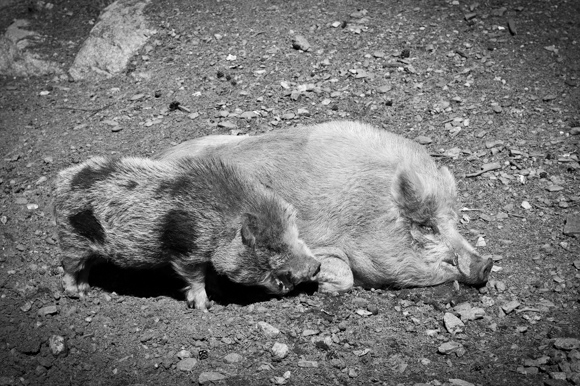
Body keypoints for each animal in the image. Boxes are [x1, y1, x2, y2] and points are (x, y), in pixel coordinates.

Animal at [53, 155, 322, 310]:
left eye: (295, 234)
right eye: (272, 247)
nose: (317, 266)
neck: (219, 226)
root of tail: (61, 180)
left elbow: (210, 276)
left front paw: (219, 292)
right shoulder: (186, 252)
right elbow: (195, 278)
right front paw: (205, 306)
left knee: (85, 267)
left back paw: (86, 290)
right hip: (72, 238)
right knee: (69, 267)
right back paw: (76, 294)